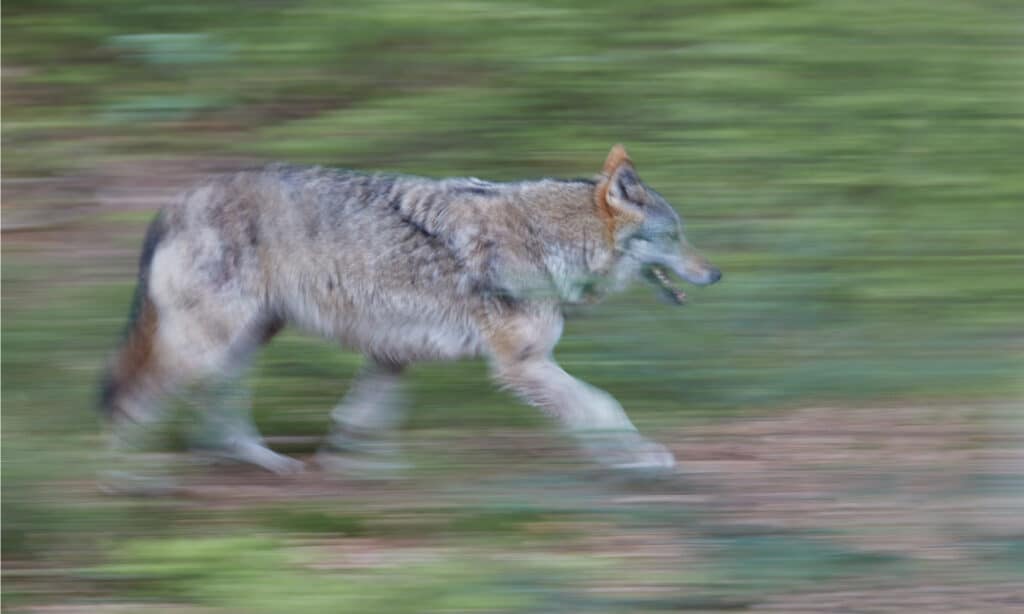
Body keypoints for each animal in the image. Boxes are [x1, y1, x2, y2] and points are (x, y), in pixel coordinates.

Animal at [96, 145, 720, 478]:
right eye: (676, 237)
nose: (716, 274)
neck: (546, 242)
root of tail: (174, 204)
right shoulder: (522, 365)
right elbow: (603, 406)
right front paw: (641, 460)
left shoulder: (391, 355)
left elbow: (357, 421)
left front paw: (359, 472)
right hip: (209, 345)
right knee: (134, 399)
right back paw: (127, 482)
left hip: (242, 342)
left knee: (214, 411)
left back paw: (267, 464)